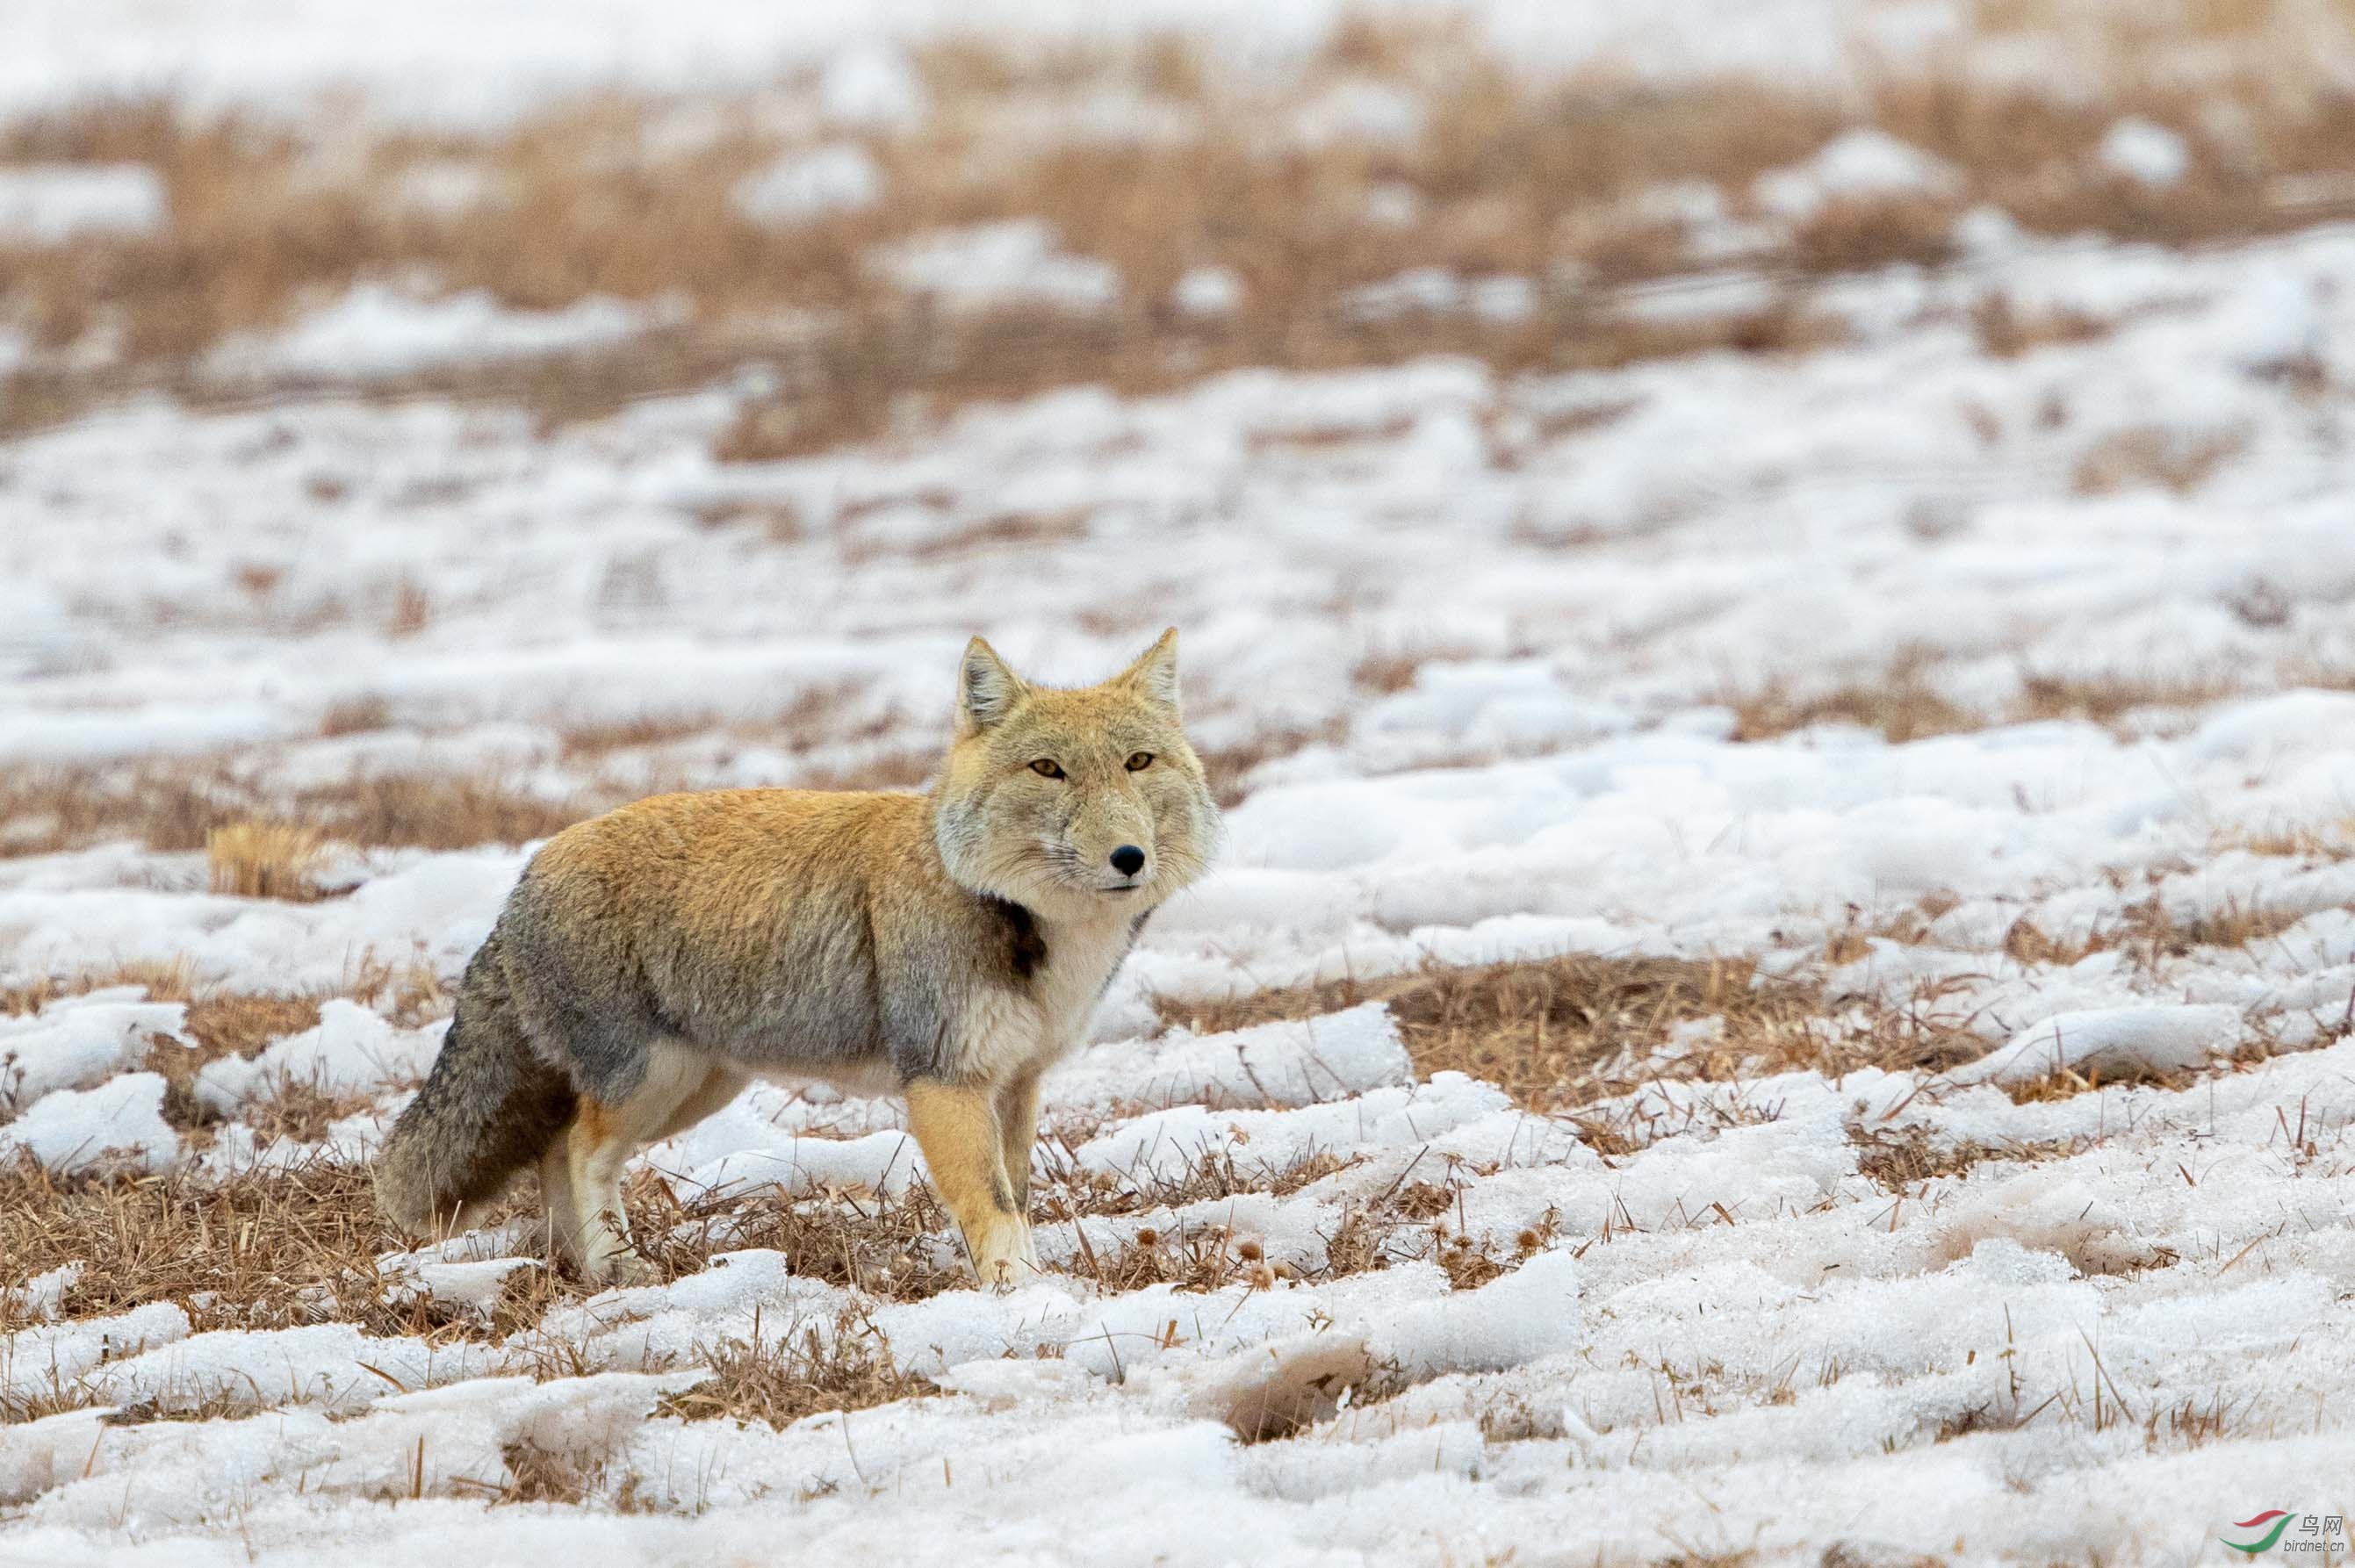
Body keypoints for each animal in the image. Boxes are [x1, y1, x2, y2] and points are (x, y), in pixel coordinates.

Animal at [371, 626, 1214, 1280]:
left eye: (1138, 763)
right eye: (1049, 769)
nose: (1129, 858)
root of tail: (526, 874)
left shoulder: (1015, 1082)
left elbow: (1019, 1198)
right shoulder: (943, 1081)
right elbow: (995, 1209)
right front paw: (1025, 1298)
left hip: (695, 1090)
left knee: (554, 1152)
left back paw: (588, 1274)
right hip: (651, 1081)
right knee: (579, 1151)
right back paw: (620, 1268)